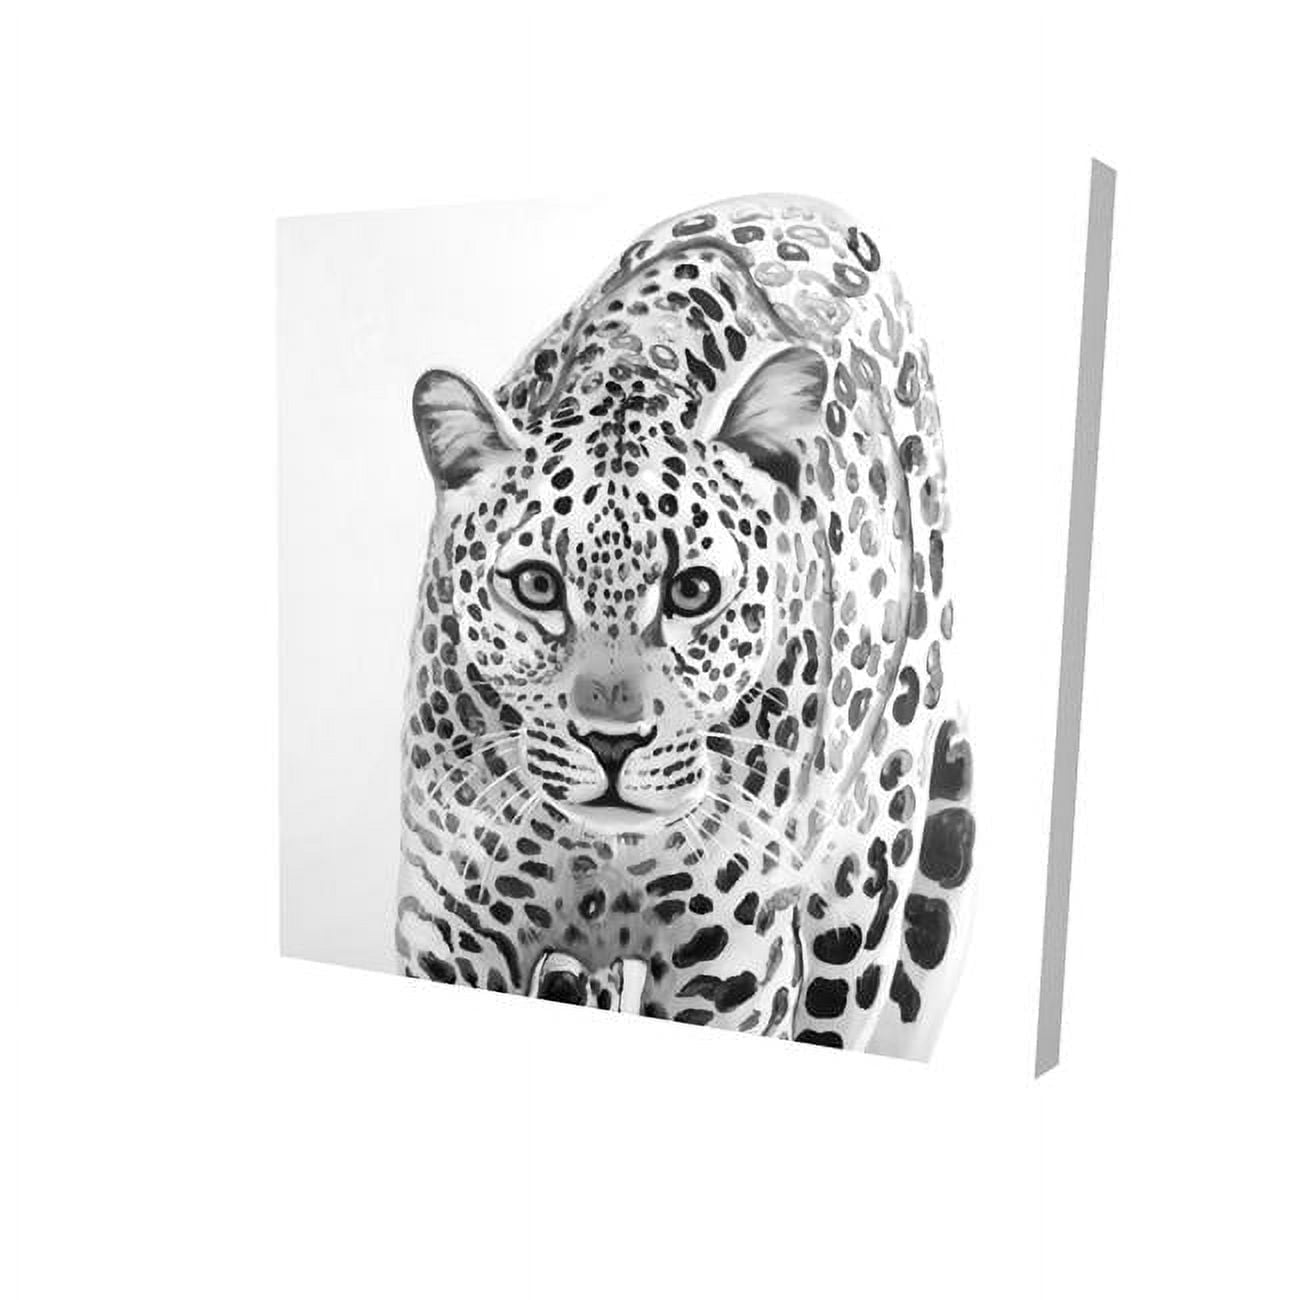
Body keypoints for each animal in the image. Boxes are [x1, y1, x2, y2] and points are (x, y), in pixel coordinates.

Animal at [395, 194, 975, 1058]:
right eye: (537, 585)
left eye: (693, 591)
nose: (611, 741)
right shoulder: (447, 919)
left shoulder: (735, 958)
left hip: (867, 873)